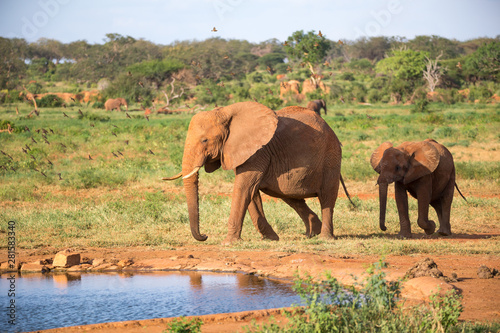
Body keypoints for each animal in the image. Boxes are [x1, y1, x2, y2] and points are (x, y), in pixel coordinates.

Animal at [164, 101, 344, 244]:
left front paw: (228, 243)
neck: (225, 112)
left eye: (205, 140)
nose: (205, 236)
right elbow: (251, 192)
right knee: (290, 196)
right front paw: (271, 239)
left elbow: (244, 187)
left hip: (331, 157)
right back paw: (312, 233)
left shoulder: (258, 150)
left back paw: (325, 238)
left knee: (327, 197)